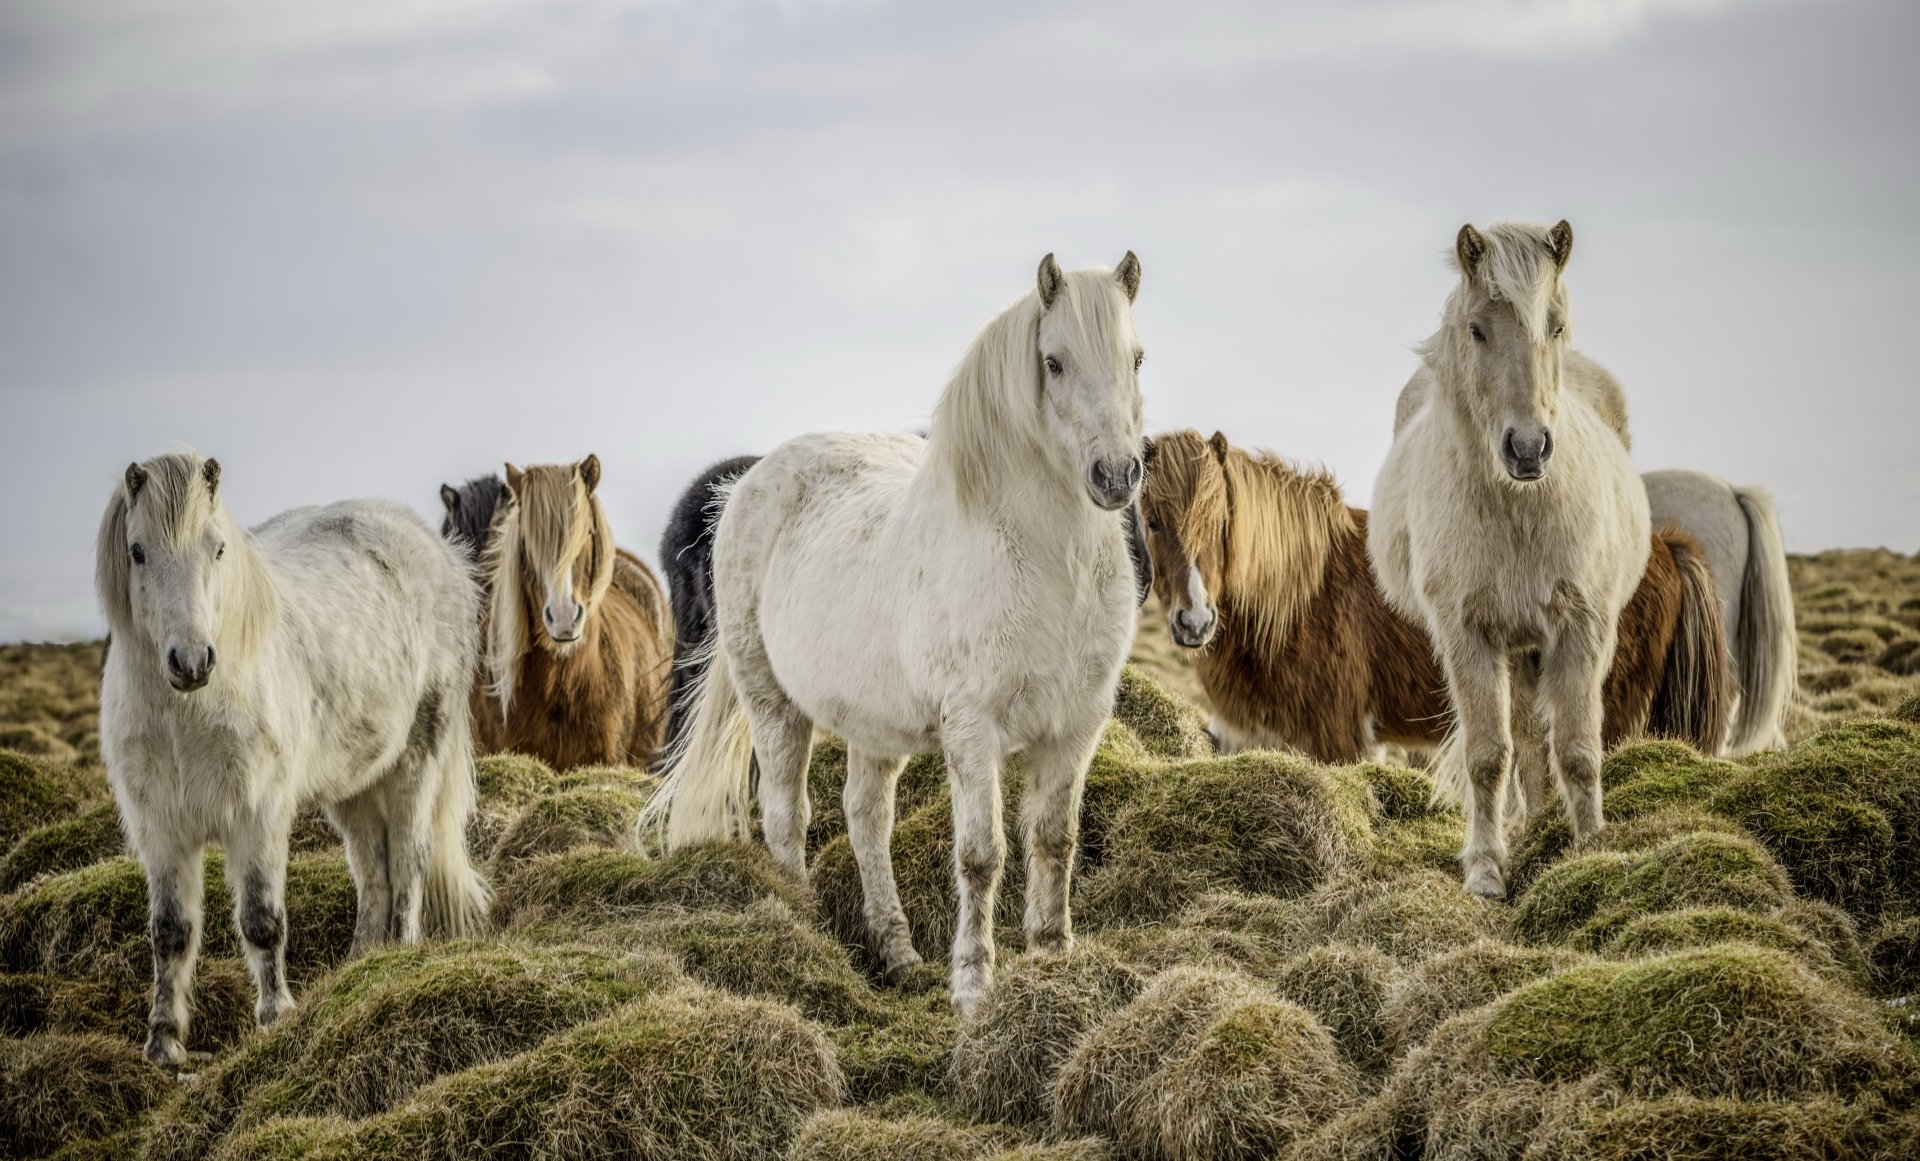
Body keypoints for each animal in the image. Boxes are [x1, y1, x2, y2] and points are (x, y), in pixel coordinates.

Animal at [95, 452, 488, 1066]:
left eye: (218, 548)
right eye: (137, 551)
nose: (192, 662)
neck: (185, 716)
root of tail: (440, 551)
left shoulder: (257, 816)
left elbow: (261, 920)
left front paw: (276, 1017)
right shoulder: (159, 829)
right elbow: (170, 931)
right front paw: (163, 1044)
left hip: (417, 759)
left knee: (409, 858)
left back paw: (398, 958)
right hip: (354, 784)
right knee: (372, 867)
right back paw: (361, 966)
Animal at [1140, 429, 1727, 766]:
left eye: (1220, 523)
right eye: (1151, 520)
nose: (1194, 622)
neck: (1298, 592)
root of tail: (1662, 544)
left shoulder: (1338, 738)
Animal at [1370, 221, 1654, 899]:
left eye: (1555, 325)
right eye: (1477, 329)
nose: (1527, 448)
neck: (1519, 507)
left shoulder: (1583, 627)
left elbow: (1578, 749)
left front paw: (1591, 848)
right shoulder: (1468, 635)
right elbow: (1488, 755)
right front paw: (1485, 869)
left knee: (1538, 738)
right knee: (1522, 739)